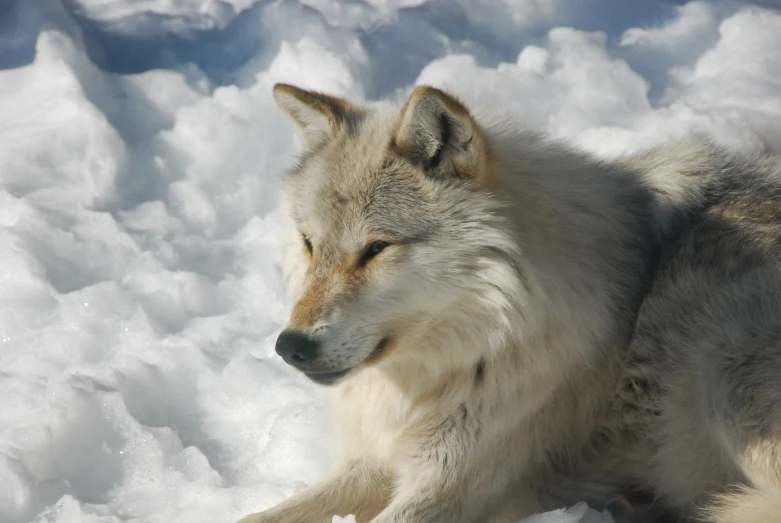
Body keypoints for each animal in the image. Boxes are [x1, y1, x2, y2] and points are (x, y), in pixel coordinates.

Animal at [236, 84, 780, 520]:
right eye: (309, 243)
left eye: (376, 248)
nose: (291, 346)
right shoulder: (369, 461)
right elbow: (259, 516)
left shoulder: (452, 484)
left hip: (725, 374)